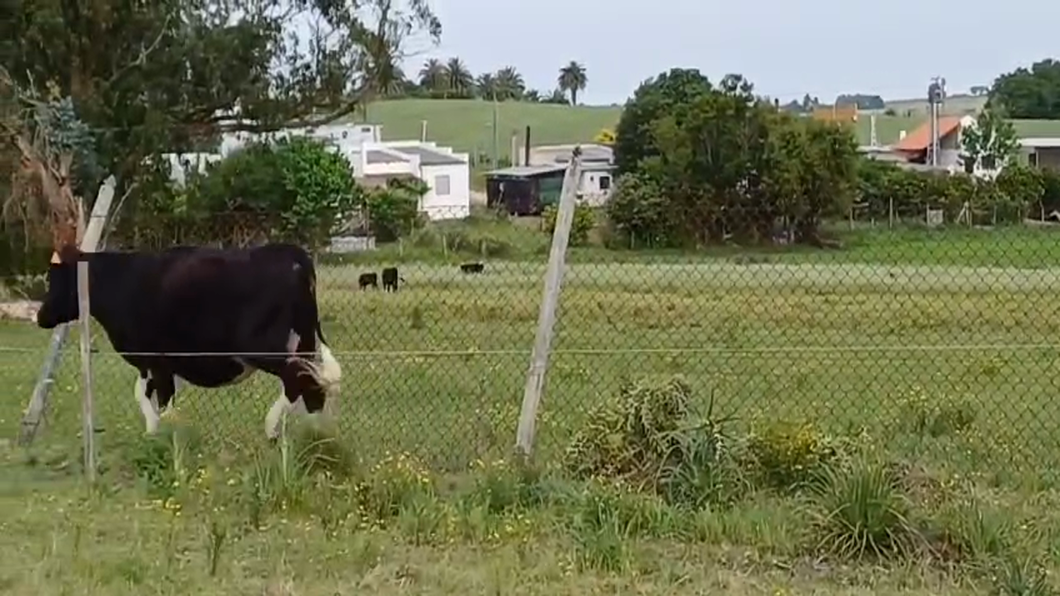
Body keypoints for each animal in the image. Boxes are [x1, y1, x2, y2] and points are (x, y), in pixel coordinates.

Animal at [37, 238, 341, 439]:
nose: (40, 316)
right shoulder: (152, 363)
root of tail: (291, 252)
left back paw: (271, 429)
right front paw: (152, 431)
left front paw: (165, 436)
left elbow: (164, 401)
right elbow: (142, 393)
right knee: (313, 389)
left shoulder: (158, 361)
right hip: (304, 342)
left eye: (54, 277)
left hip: (265, 348)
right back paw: (317, 437)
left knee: (297, 380)